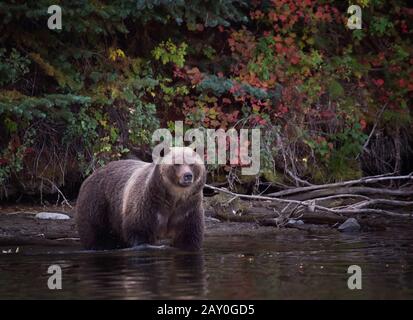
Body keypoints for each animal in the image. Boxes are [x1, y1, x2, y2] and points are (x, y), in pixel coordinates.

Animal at [74, 147, 206, 250]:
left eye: (192, 164)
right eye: (176, 163)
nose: (187, 176)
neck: (173, 198)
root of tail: (91, 175)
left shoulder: (187, 210)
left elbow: (189, 236)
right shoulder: (148, 206)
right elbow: (139, 231)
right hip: (97, 201)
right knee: (94, 231)